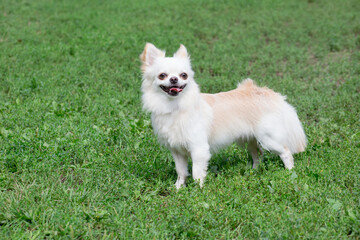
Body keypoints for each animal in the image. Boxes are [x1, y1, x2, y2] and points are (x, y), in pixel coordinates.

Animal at [139, 43, 306, 189]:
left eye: (184, 75)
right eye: (162, 75)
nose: (174, 79)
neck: (174, 106)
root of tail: (268, 93)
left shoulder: (198, 149)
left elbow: (196, 173)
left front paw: (198, 191)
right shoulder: (177, 151)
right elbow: (181, 172)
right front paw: (179, 188)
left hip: (268, 138)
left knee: (286, 152)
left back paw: (290, 172)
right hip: (248, 139)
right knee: (257, 153)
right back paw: (254, 171)